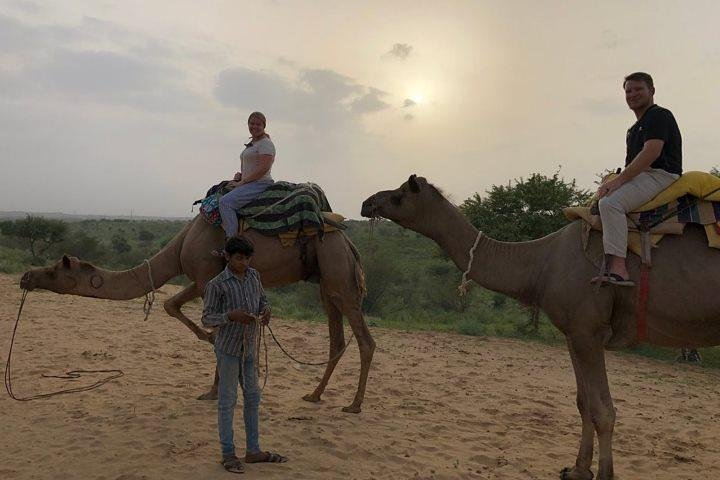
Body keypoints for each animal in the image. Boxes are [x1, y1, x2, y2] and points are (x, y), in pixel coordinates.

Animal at [19, 215, 375, 413]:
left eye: (53, 271)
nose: (26, 277)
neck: (179, 246)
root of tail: (348, 241)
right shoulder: (201, 279)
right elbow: (171, 305)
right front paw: (211, 357)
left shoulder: (205, 276)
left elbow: (217, 329)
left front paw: (214, 391)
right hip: (326, 283)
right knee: (337, 339)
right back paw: (314, 395)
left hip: (337, 270)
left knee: (365, 340)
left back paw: (354, 405)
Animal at [361, 174, 720, 480]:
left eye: (398, 194)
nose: (367, 202)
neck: (541, 263)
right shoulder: (575, 333)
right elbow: (584, 403)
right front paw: (577, 470)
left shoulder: (589, 330)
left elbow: (603, 410)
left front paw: (603, 474)